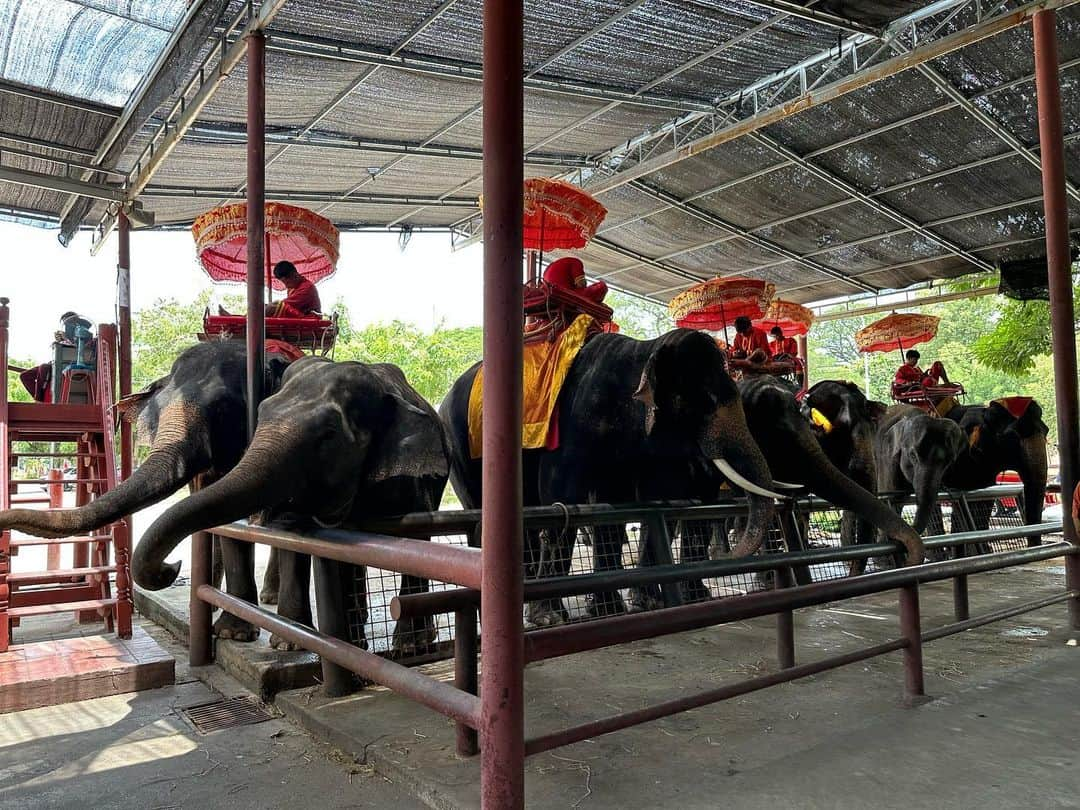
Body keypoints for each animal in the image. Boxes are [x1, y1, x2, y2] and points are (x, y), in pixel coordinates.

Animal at [131, 356, 451, 691]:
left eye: (329, 434)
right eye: (259, 415)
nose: (171, 567)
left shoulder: (416, 478)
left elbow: (418, 537)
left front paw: (412, 646)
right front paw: (306, 646)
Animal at [442, 326, 790, 626]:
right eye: (703, 402)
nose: (725, 554)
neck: (646, 350)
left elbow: (618, 506)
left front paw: (619, 609)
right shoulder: (570, 425)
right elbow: (559, 499)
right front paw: (550, 618)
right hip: (462, 445)